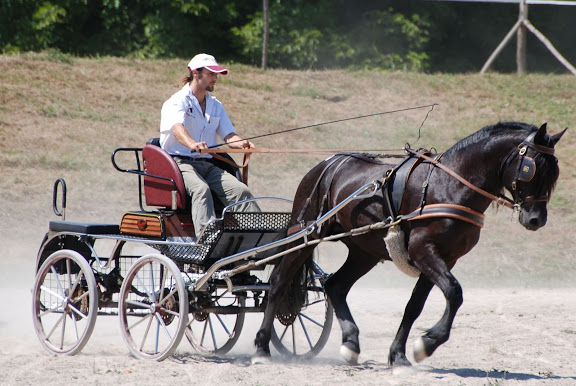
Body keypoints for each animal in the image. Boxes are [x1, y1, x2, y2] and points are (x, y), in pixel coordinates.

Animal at [253, 121, 568, 368]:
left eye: (554, 172)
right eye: (531, 168)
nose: (536, 219)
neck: (449, 185)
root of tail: (327, 163)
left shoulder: (444, 258)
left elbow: (414, 306)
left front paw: (400, 354)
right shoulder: (423, 251)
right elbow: (454, 292)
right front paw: (427, 342)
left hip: (364, 252)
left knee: (335, 286)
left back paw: (351, 343)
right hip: (306, 233)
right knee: (279, 282)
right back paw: (261, 347)